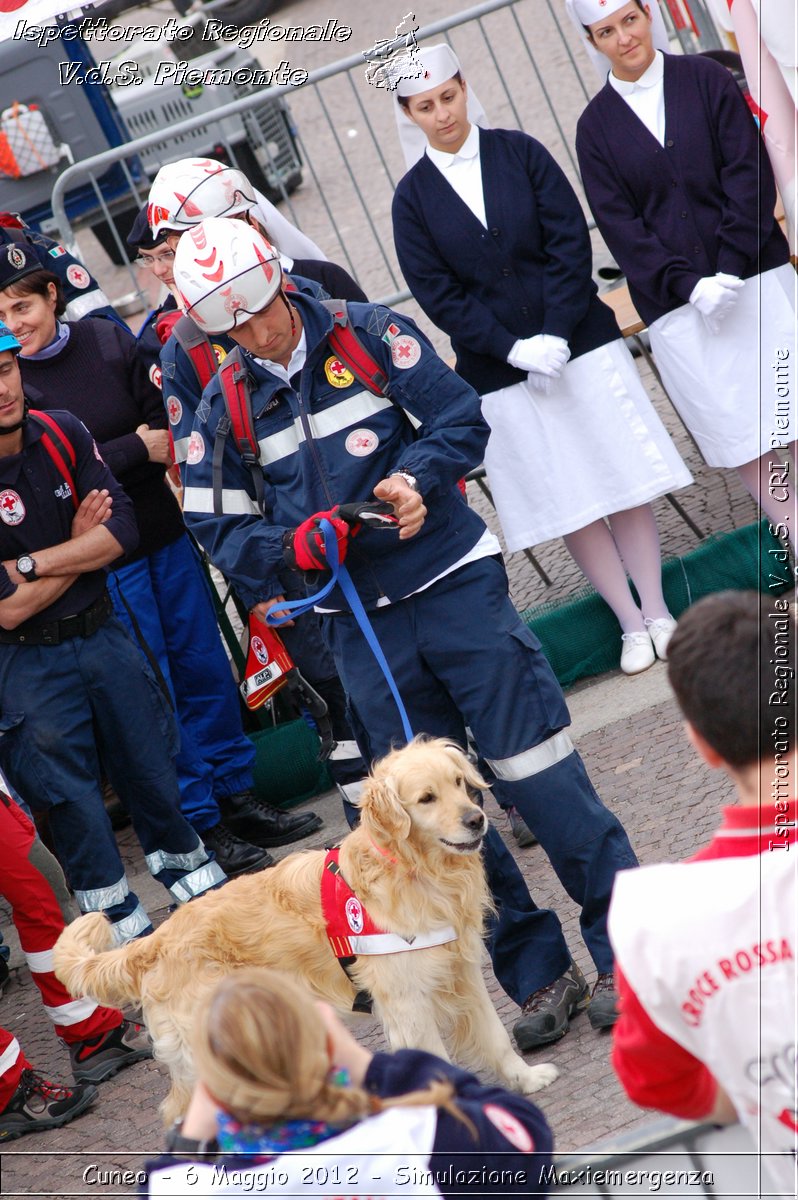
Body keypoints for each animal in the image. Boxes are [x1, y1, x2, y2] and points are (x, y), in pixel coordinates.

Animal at [54, 734, 554, 1118]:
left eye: (459, 784)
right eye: (426, 799)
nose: (477, 819)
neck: (414, 872)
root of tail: (155, 940)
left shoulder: (461, 973)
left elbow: (494, 1036)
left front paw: (526, 1079)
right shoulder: (407, 1002)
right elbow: (434, 1065)